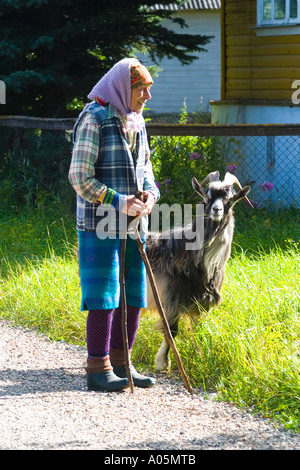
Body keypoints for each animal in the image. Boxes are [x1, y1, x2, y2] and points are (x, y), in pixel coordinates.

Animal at [144, 170, 252, 370]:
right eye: (207, 196)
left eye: (230, 198)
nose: (216, 210)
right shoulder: (170, 299)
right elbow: (172, 331)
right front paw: (163, 362)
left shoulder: (199, 302)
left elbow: (197, 331)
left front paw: (201, 356)